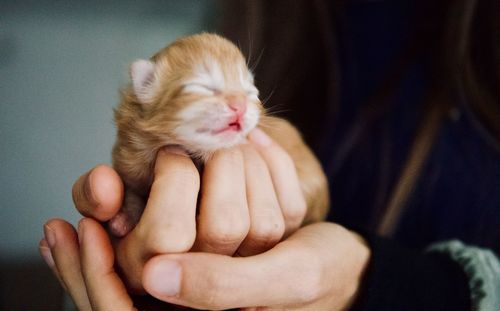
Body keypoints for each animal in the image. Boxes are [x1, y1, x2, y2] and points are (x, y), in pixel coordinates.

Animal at [109, 33, 328, 238]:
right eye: (204, 87)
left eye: (250, 92)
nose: (240, 105)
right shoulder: (130, 164)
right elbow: (132, 192)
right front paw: (124, 220)